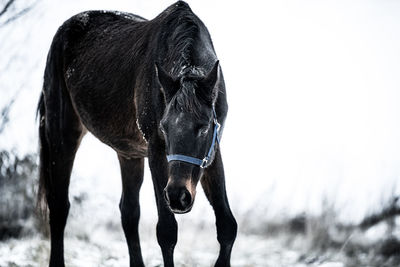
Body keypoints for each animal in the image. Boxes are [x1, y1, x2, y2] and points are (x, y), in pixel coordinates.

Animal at [36, 1, 236, 266]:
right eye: (164, 128)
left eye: (204, 126)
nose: (178, 196)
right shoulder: (156, 153)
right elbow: (167, 233)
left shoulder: (212, 153)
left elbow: (227, 226)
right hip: (62, 135)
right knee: (59, 206)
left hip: (128, 154)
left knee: (128, 212)